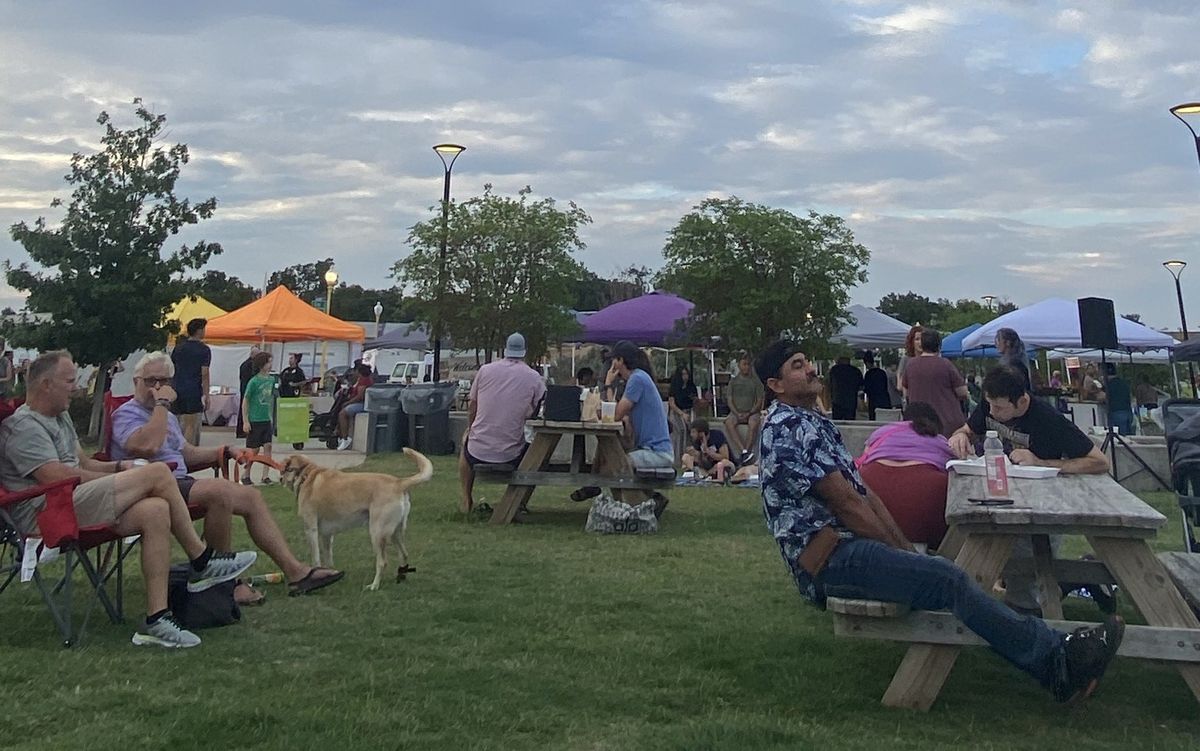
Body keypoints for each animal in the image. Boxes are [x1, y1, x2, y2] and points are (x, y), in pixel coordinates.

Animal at [278, 446, 434, 587]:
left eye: (285, 468)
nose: (279, 479)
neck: (306, 475)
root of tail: (399, 482)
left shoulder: (311, 530)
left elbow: (316, 558)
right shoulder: (327, 535)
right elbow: (328, 557)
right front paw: (330, 573)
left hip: (377, 532)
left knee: (382, 562)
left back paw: (374, 586)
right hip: (395, 532)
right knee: (404, 554)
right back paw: (400, 579)